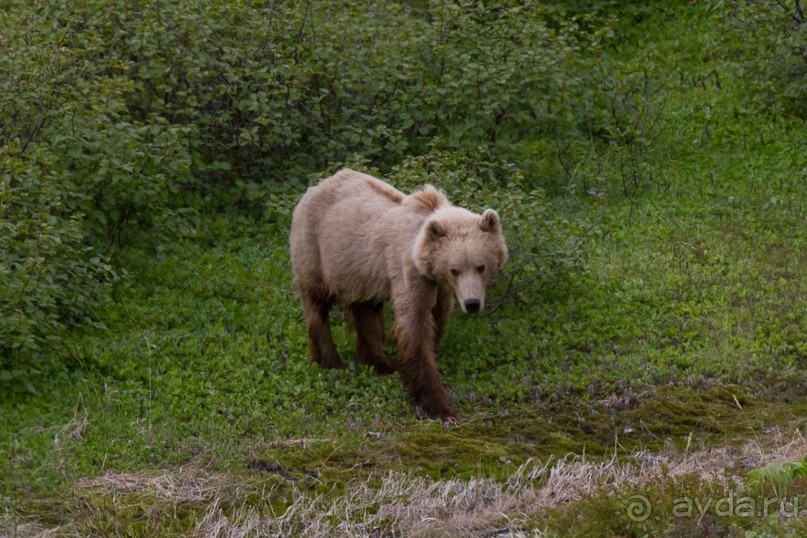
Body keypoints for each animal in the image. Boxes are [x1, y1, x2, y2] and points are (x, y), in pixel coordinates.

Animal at [288, 168, 504, 418]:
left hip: (359, 270)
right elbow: (414, 324)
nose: (471, 303)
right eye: (454, 269)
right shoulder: (408, 270)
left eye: (481, 266)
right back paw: (330, 361)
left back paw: (377, 361)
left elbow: (439, 314)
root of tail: (314, 187)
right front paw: (437, 406)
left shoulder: (440, 286)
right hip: (315, 249)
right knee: (317, 304)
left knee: (366, 309)